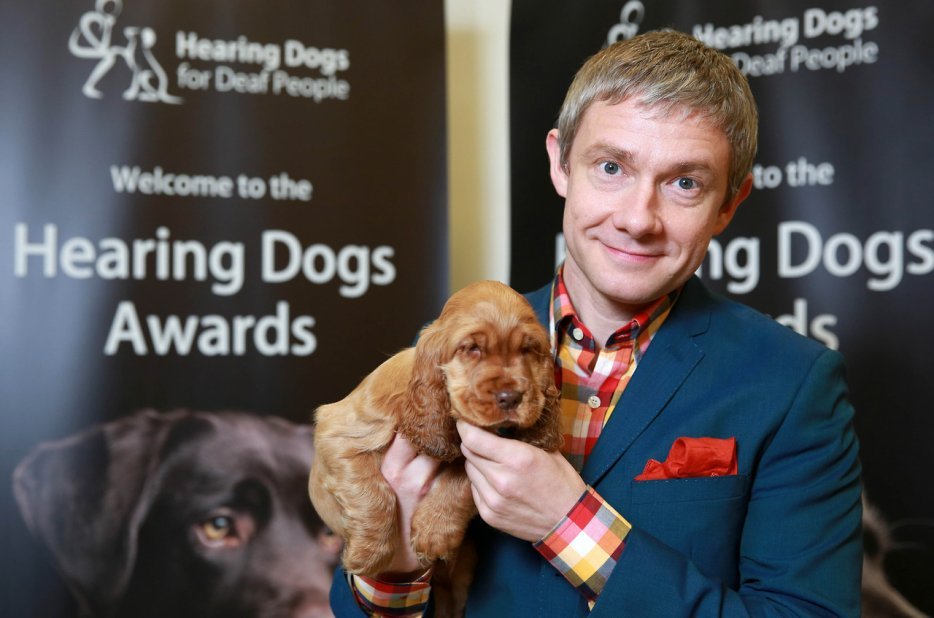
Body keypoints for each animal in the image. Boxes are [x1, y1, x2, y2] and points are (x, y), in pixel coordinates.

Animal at [309, 280, 562, 615]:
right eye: (472, 348)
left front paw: (433, 534)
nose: (511, 397)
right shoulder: (338, 433)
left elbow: (462, 475)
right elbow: (376, 494)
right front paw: (369, 554)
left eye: (528, 350)